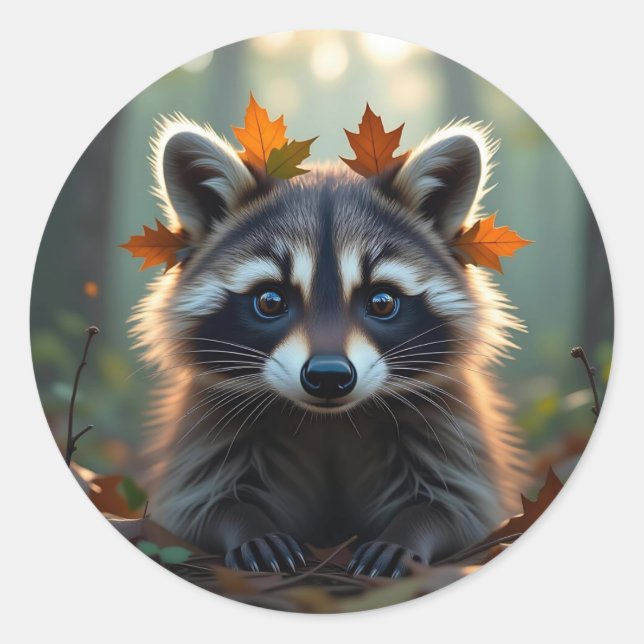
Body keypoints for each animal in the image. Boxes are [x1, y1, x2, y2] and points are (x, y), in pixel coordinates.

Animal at [131, 114, 526, 577]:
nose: (328, 376)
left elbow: (460, 506)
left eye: (381, 301)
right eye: (270, 301)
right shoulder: (210, 425)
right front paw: (248, 527)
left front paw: (408, 533)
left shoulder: (447, 422)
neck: (330, 421)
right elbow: (200, 503)